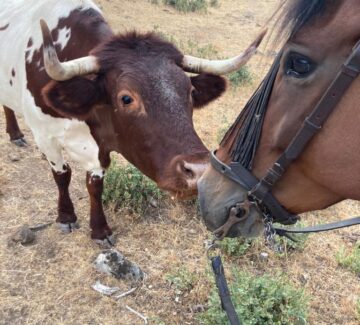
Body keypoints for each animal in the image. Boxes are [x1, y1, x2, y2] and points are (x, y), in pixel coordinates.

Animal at [1, 0, 262, 243]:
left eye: (189, 91)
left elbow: (94, 185)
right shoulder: (45, 136)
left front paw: (100, 230)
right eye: (126, 98)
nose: (198, 171)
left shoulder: (97, 149)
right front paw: (66, 217)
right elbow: (62, 175)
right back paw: (16, 134)